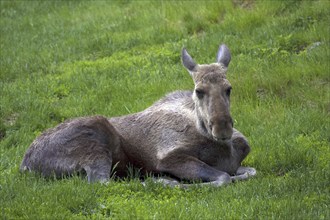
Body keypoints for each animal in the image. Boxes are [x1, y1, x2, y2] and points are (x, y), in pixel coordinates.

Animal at [20, 44, 256, 187]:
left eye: (228, 88)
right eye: (199, 90)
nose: (222, 127)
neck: (224, 150)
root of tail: (25, 165)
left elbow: (250, 171)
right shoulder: (169, 157)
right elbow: (224, 177)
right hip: (95, 136)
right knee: (101, 182)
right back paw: (163, 181)